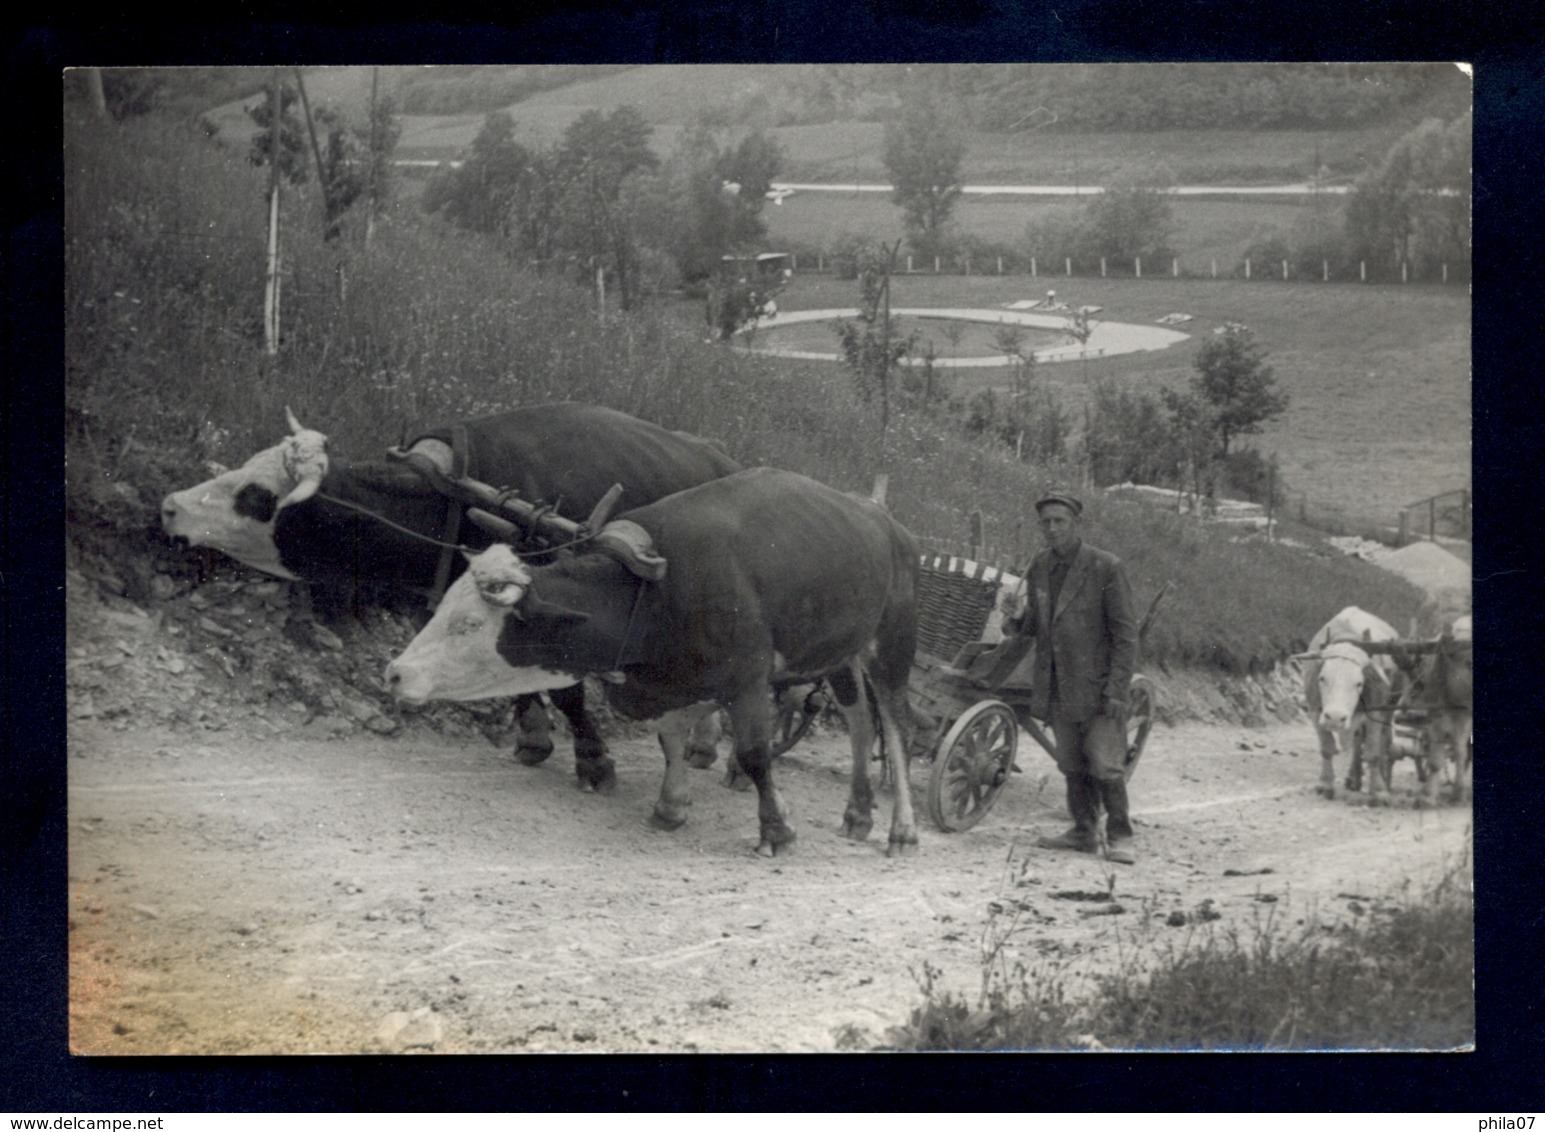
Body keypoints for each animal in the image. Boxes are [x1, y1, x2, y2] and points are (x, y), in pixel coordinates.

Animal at [159, 401, 738, 790]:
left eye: (255, 495)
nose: (168, 506)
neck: (454, 504)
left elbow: (567, 690)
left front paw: (593, 761)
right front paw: (534, 737)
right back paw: (704, 745)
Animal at [384, 469, 914, 858]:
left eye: (470, 624)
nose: (395, 672)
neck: (659, 591)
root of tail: (882, 516)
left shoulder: (746, 677)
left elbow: (753, 752)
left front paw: (776, 827)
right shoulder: (683, 682)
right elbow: (671, 735)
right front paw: (671, 804)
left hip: (890, 649)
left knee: (894, 727)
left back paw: (902, 829)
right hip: (840, 655)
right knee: (861, 724)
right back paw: (858, 812)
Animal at [1303, 605, 1402, 796]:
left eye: (1359, 683)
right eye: (1322, 678)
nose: (1335, 718)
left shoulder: (1376, 712)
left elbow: (1373, 752)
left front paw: (1378, 790)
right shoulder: (1315, 712)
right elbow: (1327, 748)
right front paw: (1325, 784)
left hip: (1389, 709)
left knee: (1384, 742)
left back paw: (1384, 778)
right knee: (1357, 743)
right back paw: (1353, 778)